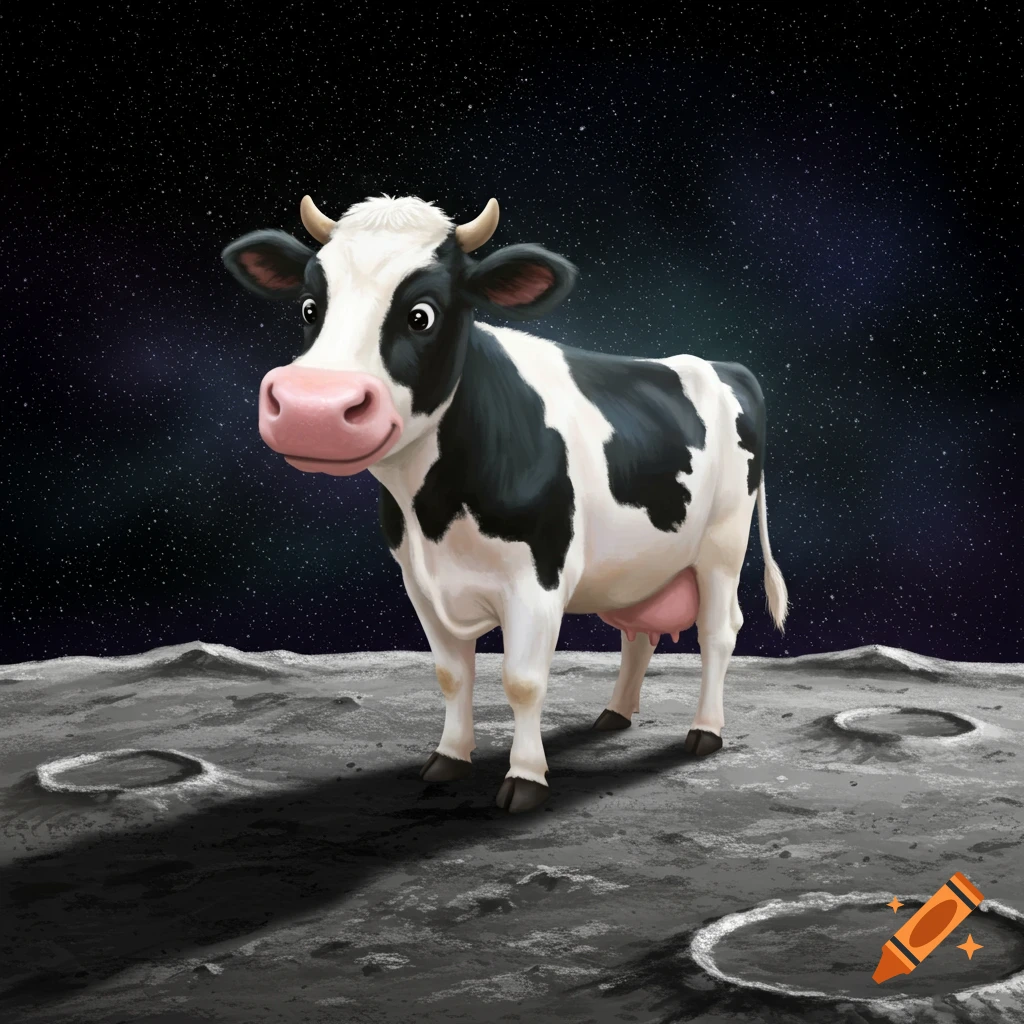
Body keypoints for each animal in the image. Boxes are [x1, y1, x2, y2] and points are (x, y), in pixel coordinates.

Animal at [222, 193, 789, 814]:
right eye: (308, 307)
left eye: (422, 314)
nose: (313, 410)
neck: (435, 515)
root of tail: (719, 365)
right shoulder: (419, 582)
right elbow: (451, 674)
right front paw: (449, 757)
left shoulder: (537, 580)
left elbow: (522, 680)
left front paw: (525, 777)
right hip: (639, 563)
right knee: (638, 634)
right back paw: (614, 714)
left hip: (722, 546)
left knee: (719, 632)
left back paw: (705, 730)